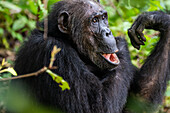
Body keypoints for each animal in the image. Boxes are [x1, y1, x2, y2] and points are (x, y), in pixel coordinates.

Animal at [12, 0, 170, 113]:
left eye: (104, 17)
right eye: (94, 20)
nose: (108, 32)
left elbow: (139, 101)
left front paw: (157, 18)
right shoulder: (54, 53)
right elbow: (95, 107)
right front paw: (121, 44)